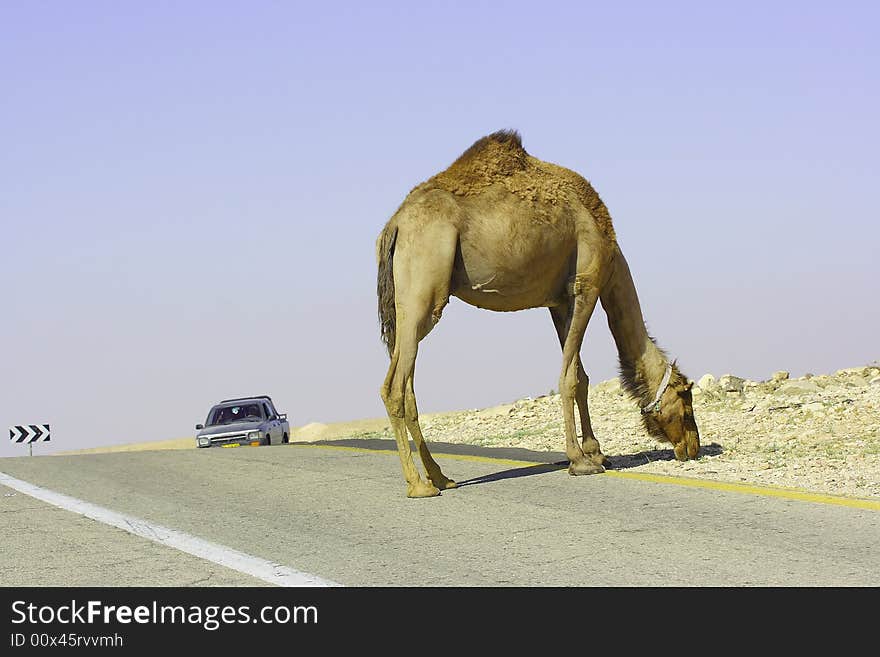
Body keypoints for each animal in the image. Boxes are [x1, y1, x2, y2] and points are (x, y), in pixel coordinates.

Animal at [376, 129, 700, 498]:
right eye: (685, 398)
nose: (693, 447)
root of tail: (394, 226)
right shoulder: (587, 284)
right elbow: (569, 377)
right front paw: (581, 461)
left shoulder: (558, 301)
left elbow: (581, 376)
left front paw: (597, 452)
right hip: (425, 288)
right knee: (395, 386)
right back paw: (419, 485)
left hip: (407, 305)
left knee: (407, 383)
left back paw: (441, 477)